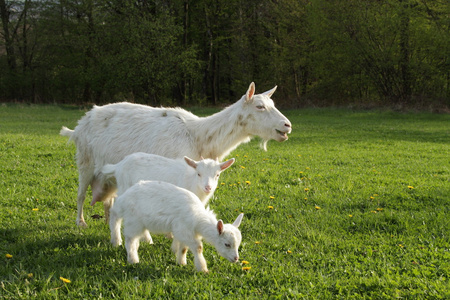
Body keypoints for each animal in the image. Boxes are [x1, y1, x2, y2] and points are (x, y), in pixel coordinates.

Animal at [59, 82, 292, 227]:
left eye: (272, 104)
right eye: (260, 106)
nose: (287, 125)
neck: (199, 136)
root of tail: (79, 126)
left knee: (108, 201)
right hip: (85, 161)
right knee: (80, 194)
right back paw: (81, 222)